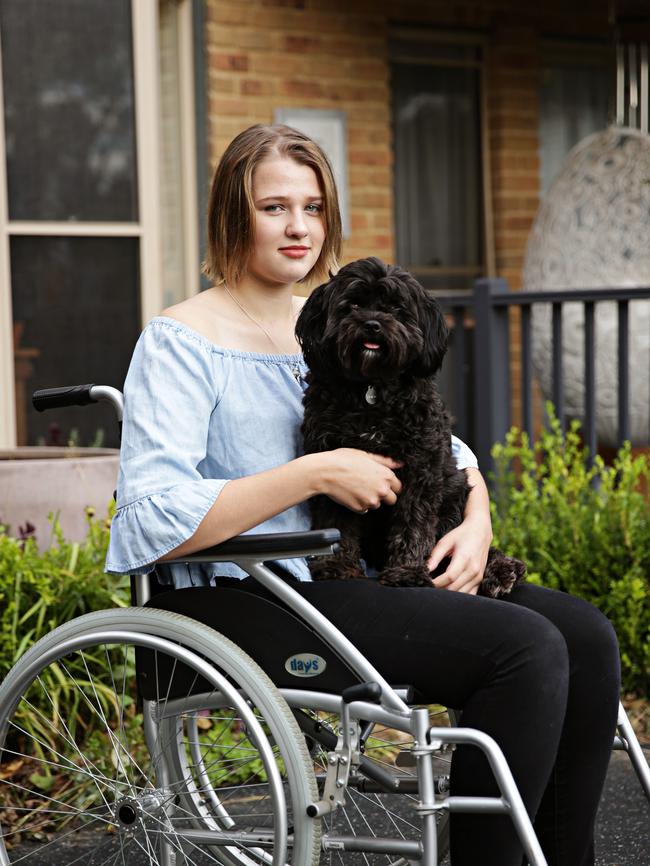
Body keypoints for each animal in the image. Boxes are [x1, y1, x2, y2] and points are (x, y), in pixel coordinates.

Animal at [296, 253, 524, 596]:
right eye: (353, 305)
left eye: (396, 308)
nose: (372, 323)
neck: (371, 389)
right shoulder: (334, 468)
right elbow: (335, 520)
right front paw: (335, 565)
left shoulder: (422, 469)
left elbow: (413, 523)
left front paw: (407, 572)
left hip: (453, 495)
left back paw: (501, 570)